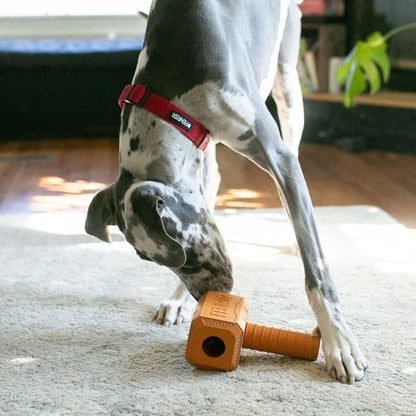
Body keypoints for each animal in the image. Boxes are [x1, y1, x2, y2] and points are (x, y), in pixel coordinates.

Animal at [84, 0, 368, 384]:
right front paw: (179, 300)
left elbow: (317, 272)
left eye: (182, 252)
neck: (170, 94)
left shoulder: (281, 162)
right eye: (150, 261)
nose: (209, 297)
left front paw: (338, 341)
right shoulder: (199, 153)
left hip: (289, 88)